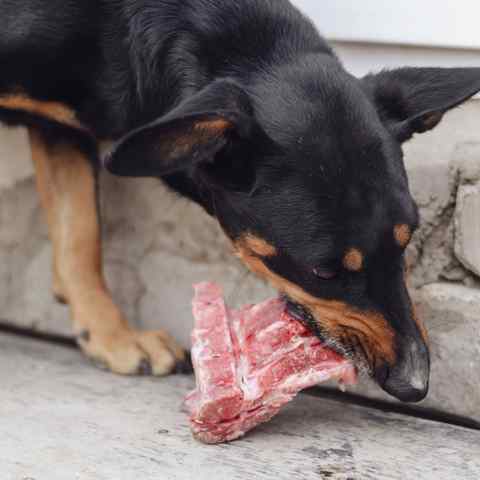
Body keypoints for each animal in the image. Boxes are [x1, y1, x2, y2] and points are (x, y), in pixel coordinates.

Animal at [0, 0, 480, 402]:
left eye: (407, 239)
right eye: (322, 272)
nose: (415, 385)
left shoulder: (63, 120)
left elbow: (79, 231)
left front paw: (110, 336)